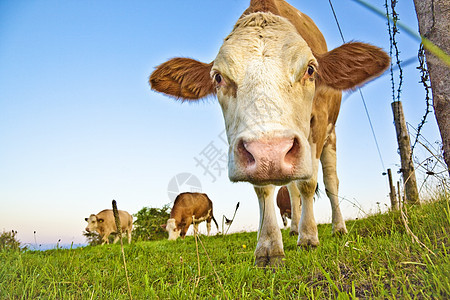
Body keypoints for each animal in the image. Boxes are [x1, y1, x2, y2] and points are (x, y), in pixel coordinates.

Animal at [149, 0, 388, 268]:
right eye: (218, 77)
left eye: (310, 69)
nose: (269, 152)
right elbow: (266, 190)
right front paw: (270, 246)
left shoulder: (317, 127)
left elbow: (308, 183)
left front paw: (309, 238)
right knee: (292, 189)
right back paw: (294, 229)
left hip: (330, 134)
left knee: (330, 181)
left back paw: (337, 227)